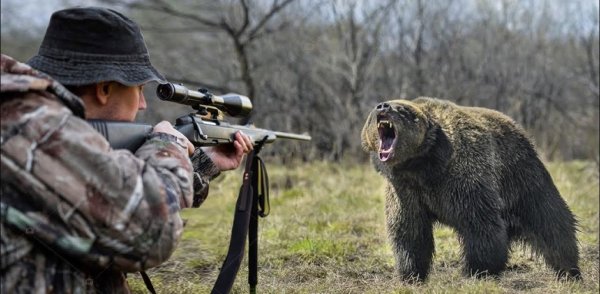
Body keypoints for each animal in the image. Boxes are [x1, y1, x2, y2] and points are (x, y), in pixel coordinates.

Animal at [360, 97, 580, 282]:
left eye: (402, 109)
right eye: (379, 107)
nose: (382, 106)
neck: (423, 166)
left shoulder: (462, 177)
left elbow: (479, 223)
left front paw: (478, 269)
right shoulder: (405, 191)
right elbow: (409, 231)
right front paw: (411, 273)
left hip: (521, 177)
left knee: (551, 220)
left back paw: (569, 270)